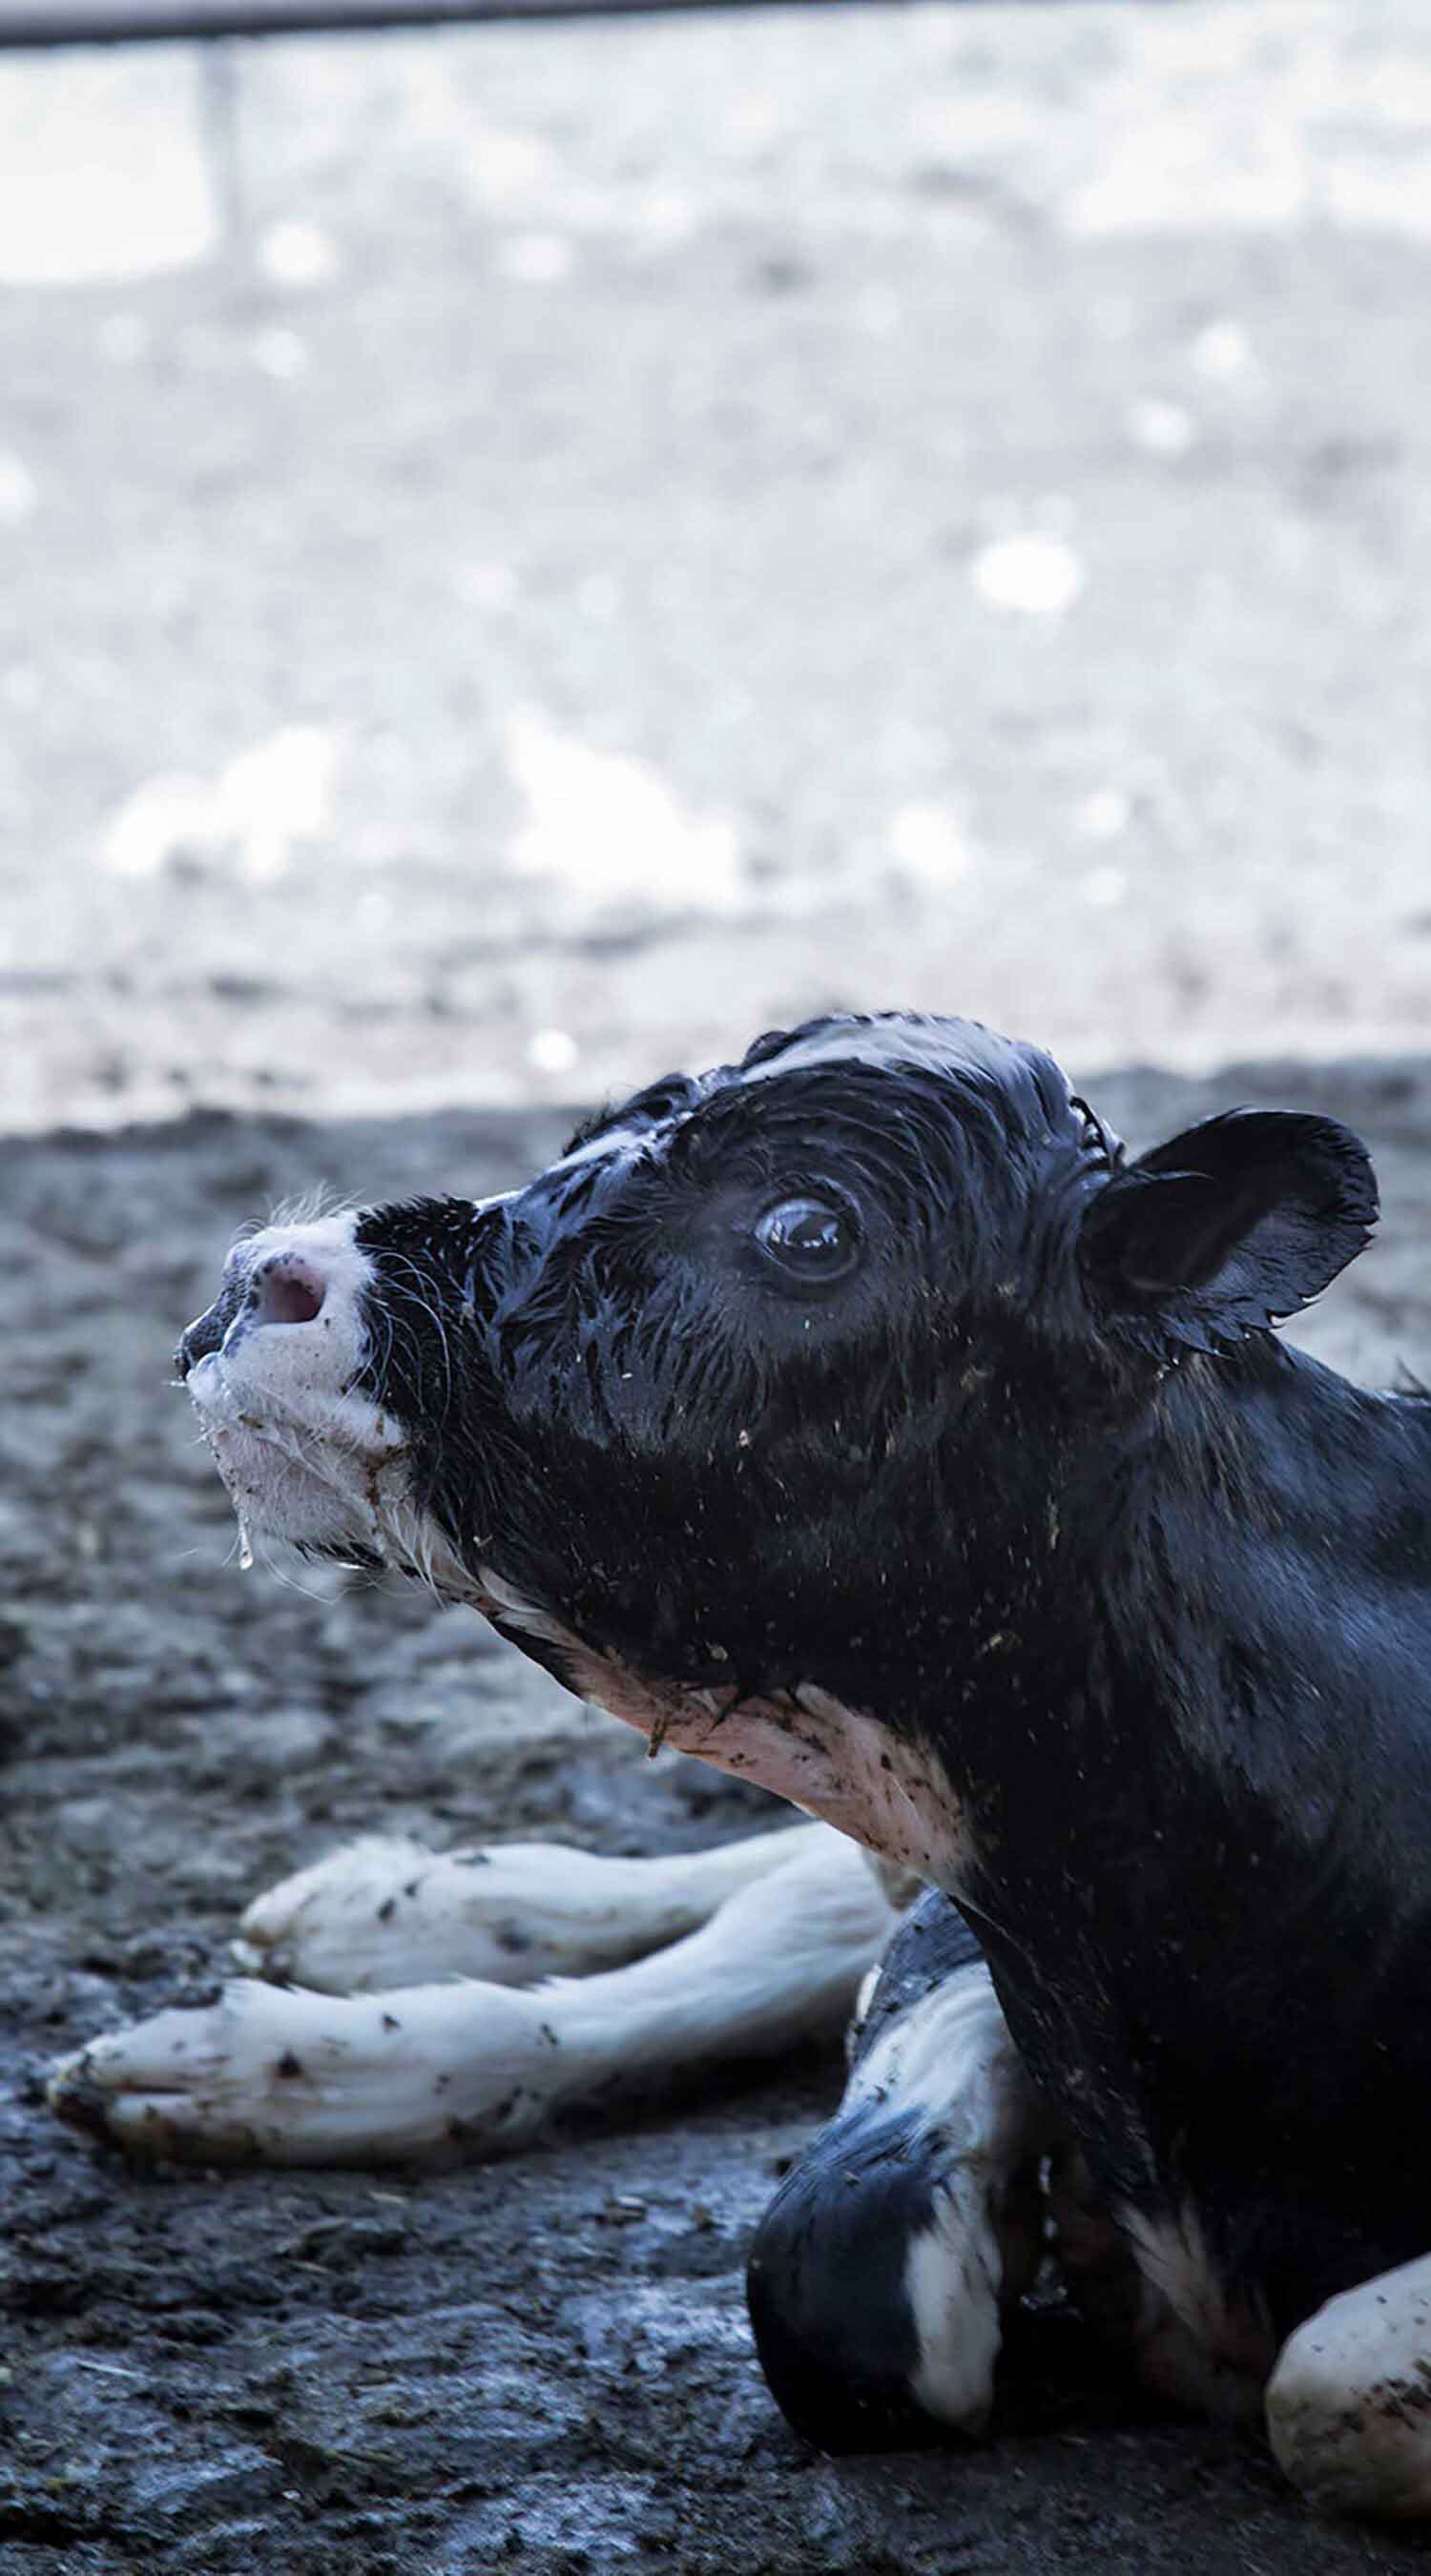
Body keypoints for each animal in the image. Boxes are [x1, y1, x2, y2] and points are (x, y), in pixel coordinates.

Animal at [50, 1012, 1431, 2519]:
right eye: (601, 1125)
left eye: (807, 1228)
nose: (267, 1277)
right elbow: (836, 2268)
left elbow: (1326, 2380)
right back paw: (338, 1971)